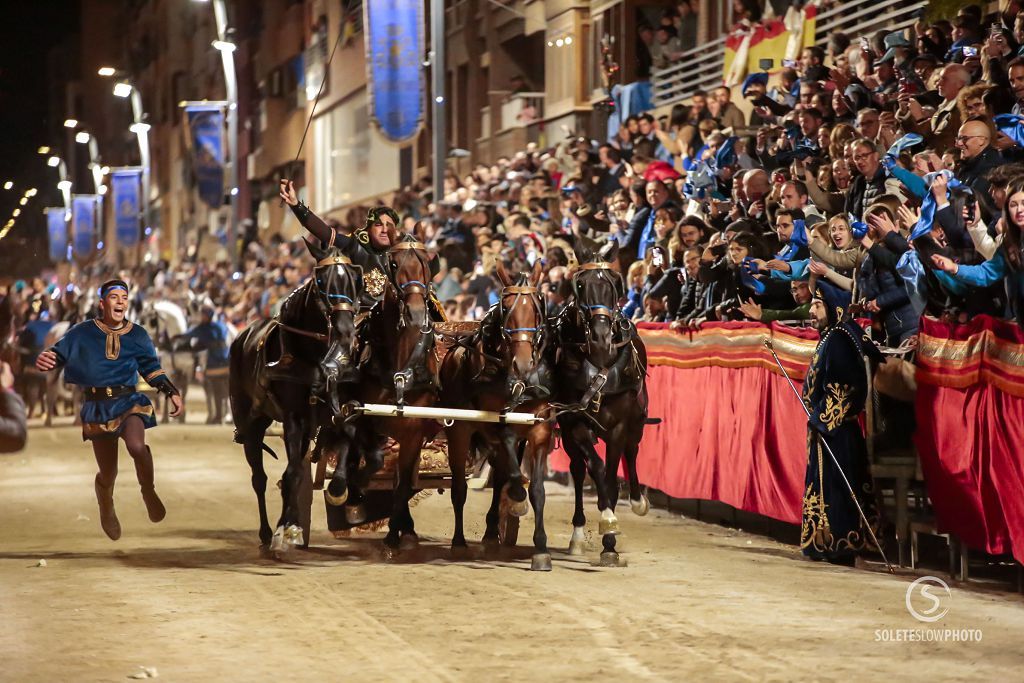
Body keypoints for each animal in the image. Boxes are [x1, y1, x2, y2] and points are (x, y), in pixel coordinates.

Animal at [230, 240, 362, 557]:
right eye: (321, 281)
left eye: (354, 278)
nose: (345, 330)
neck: (316, 356)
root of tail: (242, 335)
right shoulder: (294, 417)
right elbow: (291, 474)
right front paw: (284, 531)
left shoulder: (334, 410)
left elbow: (347, 434)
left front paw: (339, 489)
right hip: (251, 423)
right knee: (260, 478)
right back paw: (269, 532)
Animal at [436, 262, 557, 573]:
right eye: (505, 308)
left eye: (537, 308)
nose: (523, 363)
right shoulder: (501, 425)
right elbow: (511, 476)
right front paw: (516, 497)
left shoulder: (539, 429)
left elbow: (536, 489)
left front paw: (541, 549)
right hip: (460, 431)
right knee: (459, 487)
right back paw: (458, 542)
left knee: (498, 476)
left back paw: (492, 532)